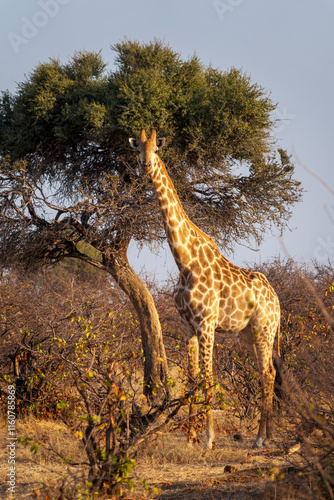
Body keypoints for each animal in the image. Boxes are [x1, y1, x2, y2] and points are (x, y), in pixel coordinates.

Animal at [129, 129, 280, 450]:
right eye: (138, 150)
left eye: (156, 150)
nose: (145, 167)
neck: (185, 262)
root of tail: (277, 301)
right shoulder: (187, 326)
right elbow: (191, 378)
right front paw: (190, 437)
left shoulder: (207, 325)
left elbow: (209, 377)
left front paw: (209, 438)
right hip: (246, 335)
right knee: (268, 373)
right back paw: (266, 435)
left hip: (264, 330)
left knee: (266, 373)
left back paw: (261, 439)